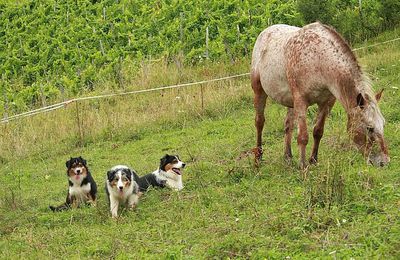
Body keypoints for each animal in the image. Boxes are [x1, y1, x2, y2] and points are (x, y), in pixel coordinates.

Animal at [252, 21, 390, 169]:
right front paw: (303, 167)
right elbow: (303, 137)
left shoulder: (326, 102)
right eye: (369, 128)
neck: (318, 60)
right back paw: (258, 159)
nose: (384, 162)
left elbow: (318, 131)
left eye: (383, 124)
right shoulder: (301, 102)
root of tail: (265, 31)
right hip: (259, 91)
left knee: (288, 125)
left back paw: (288, 157)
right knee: (259, 122)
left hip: (290, 102)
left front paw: (313, 160)